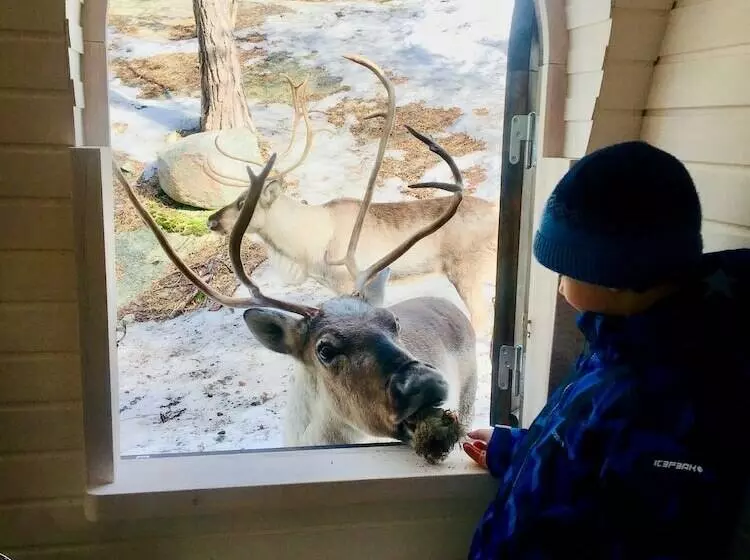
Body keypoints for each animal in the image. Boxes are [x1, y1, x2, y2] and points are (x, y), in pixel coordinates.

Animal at [203, 57, 499, 337]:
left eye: (243, 203)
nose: (211, 221)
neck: (305, 247)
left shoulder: (346, 283)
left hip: (466, 272)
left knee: (482, 321)